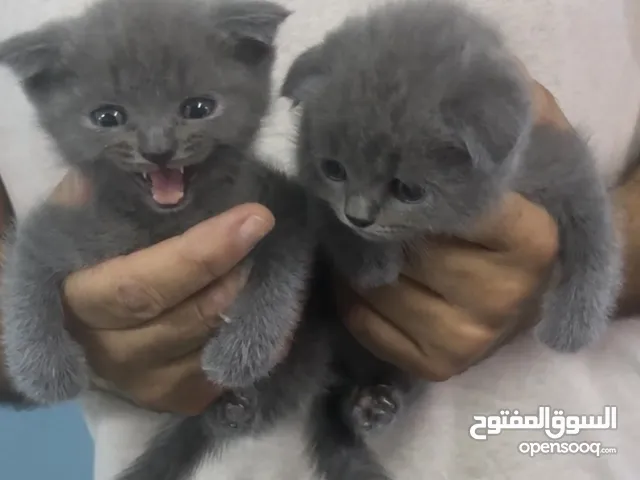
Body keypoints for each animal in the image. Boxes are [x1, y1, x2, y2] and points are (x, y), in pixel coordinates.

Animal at [282, 0, 624, 436]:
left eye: (408, 190)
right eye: (334, 169)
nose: (358, 216)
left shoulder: (557, 158)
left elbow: (594, 223)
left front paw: (573, 326)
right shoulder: (317, 192)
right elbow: (322, 213)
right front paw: (372, 262)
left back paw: (377, 403)